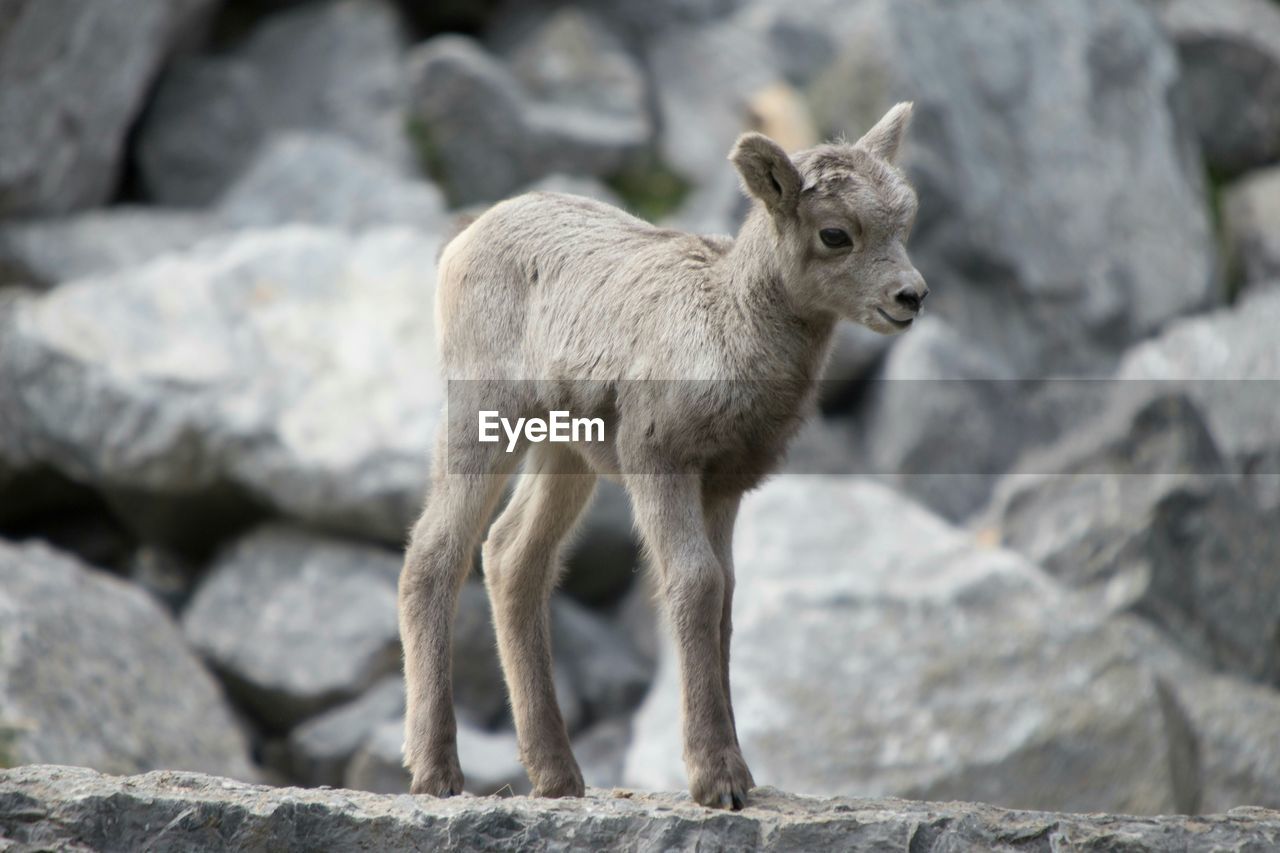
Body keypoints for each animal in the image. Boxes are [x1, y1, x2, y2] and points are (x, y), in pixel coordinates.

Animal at [394, 103, 926, 809]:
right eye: (835, 234)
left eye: (906, 219)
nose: (910, 298)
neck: (727, 327)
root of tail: (463, 239)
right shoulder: (660, 465)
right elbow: (695, 585)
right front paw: (717, 782)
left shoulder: (722, 487)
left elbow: (725, 596)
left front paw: (737, 774)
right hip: (484, 420)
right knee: (435, 554)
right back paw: (437, 774)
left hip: (565, 454)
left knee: (512, 557)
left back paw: (559, 779)